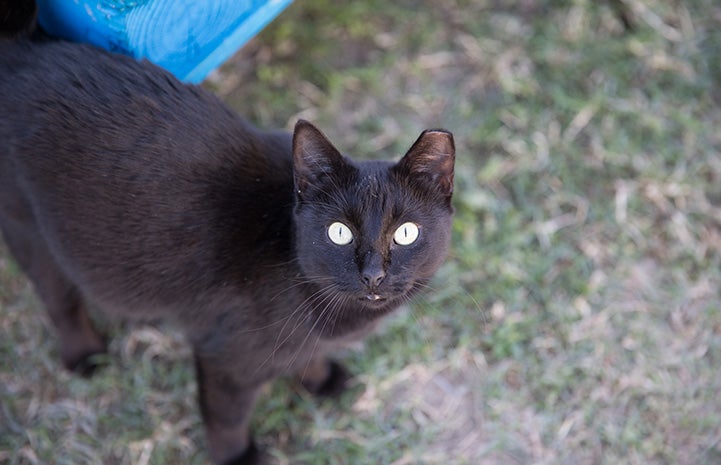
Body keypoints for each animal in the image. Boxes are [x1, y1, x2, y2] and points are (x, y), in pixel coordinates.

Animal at [0, 1, 456, 462]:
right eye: (339, 233)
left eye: (405, 233)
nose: (373, 274)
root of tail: (22, 47)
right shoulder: (226, 358)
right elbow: (226, 416)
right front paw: (237, 456)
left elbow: (304, 355)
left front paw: (318, 378)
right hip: (28, 226)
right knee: (58, 298)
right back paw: (85, 355)